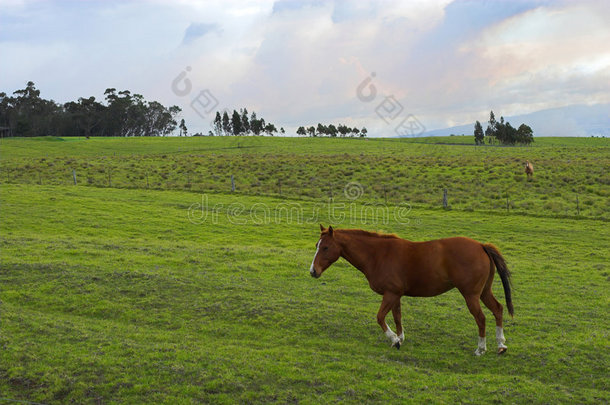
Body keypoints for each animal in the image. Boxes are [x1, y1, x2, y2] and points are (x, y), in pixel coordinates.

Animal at [308, 226, 512, 356]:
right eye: (317, 246)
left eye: (325, 247)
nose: (313, 271)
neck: (378, 254)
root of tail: (481, 246)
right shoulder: (395, 295)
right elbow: (397, 317)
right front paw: (400, 338)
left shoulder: (390, 294)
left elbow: (380, 317)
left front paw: (394, 339)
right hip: (484, 292)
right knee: (498, 310)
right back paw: (501, 344)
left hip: (471, 295)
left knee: (481, 318)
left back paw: (481, 349)